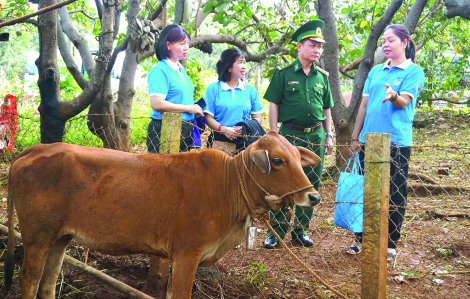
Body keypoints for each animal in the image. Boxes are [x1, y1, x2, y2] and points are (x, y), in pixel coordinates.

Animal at [4, 131, 320, 299]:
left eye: (297, 157)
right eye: (277, 160)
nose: (313, 196)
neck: (229, 183)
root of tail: (35, 150)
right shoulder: (187, 254)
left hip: (60, 238)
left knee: (48, 281)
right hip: (37, 237)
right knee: (29, 279)